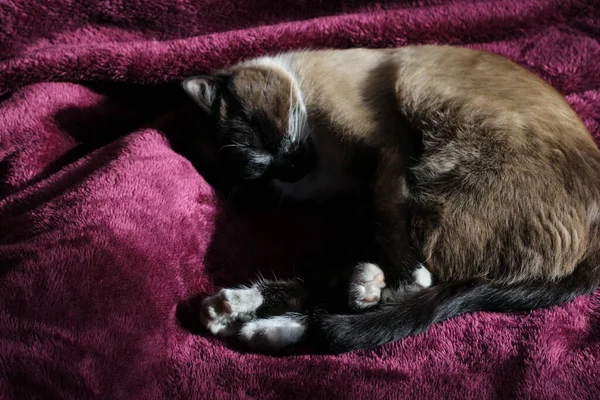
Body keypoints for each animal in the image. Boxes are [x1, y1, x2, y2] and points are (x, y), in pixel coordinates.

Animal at [180, 45, 600, 354]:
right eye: (262, 173)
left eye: (265, 136)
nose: (292, 166)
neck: (330, 165)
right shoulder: (356, 199)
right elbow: (365, 245)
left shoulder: (383, 155)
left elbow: (390, 226)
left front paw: (399, 276)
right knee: (354, 290)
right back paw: (238, 312)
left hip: (438, 191)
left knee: (420, 292)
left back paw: (263, 319)